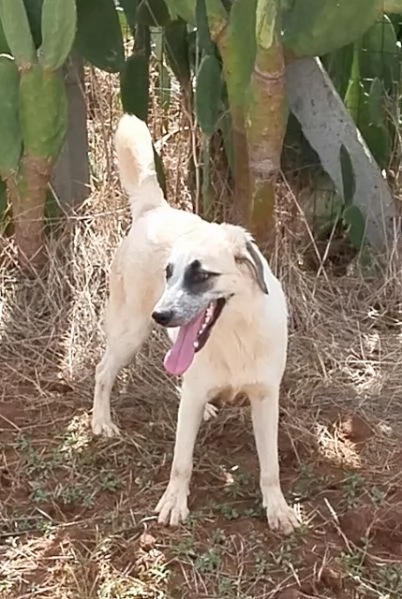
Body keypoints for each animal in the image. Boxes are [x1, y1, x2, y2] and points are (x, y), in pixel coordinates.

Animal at [91, 112, 298, 536]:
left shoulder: (266, 397)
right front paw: (174, 502)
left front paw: (277, 507)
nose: (161, 314)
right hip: (129, 331)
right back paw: (101, 421)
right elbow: (180, 462)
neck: (235, 335)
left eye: (201, 275)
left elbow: (270, 466)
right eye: (169, 273)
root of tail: (154, 208)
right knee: (103, 372)